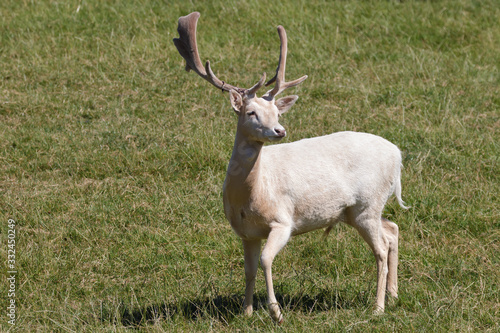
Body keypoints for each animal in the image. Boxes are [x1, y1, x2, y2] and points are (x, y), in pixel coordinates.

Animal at [173, 13, 406, 322]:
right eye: (251, 112)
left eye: (276, 112)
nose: (279, 130)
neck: (251, 197)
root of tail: (397, 155)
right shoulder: (245, 232)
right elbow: (248, 269)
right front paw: (246, 311)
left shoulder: (283, 221)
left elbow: (265, 260)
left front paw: (276, 311)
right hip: (356, 211)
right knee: (391, 229)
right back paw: (393, 295)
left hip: (367, 203)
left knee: (380, 249)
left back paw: (378, 307)